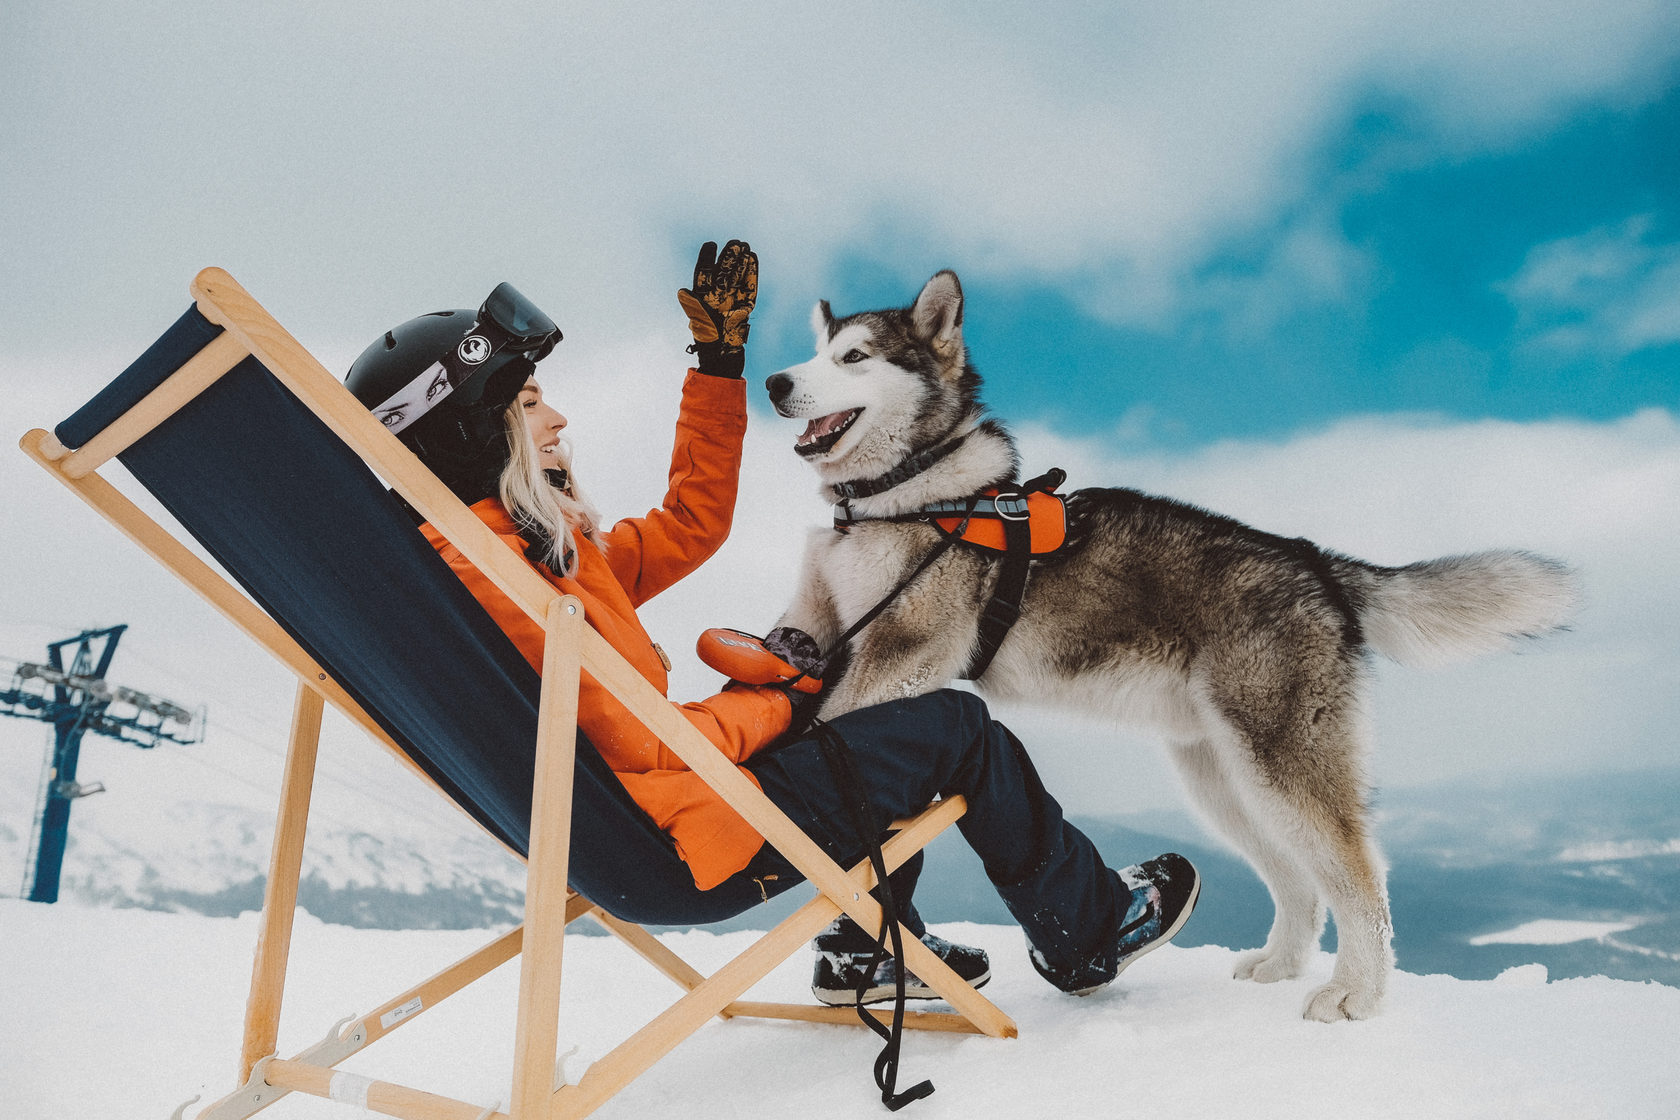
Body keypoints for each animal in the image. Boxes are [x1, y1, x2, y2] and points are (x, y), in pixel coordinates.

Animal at [762, 272, 1572, 1027]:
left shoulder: (902, 653)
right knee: (1298, 881)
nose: (774, 382)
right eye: (815, 350)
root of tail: (1311, 560)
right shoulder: (821, 631)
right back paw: (1281, 965)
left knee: (1359, 875)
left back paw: (1357, 996)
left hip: (1279, 764)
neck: (904, 496)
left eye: (855, 356)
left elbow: (828, 722)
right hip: (1223, 780)